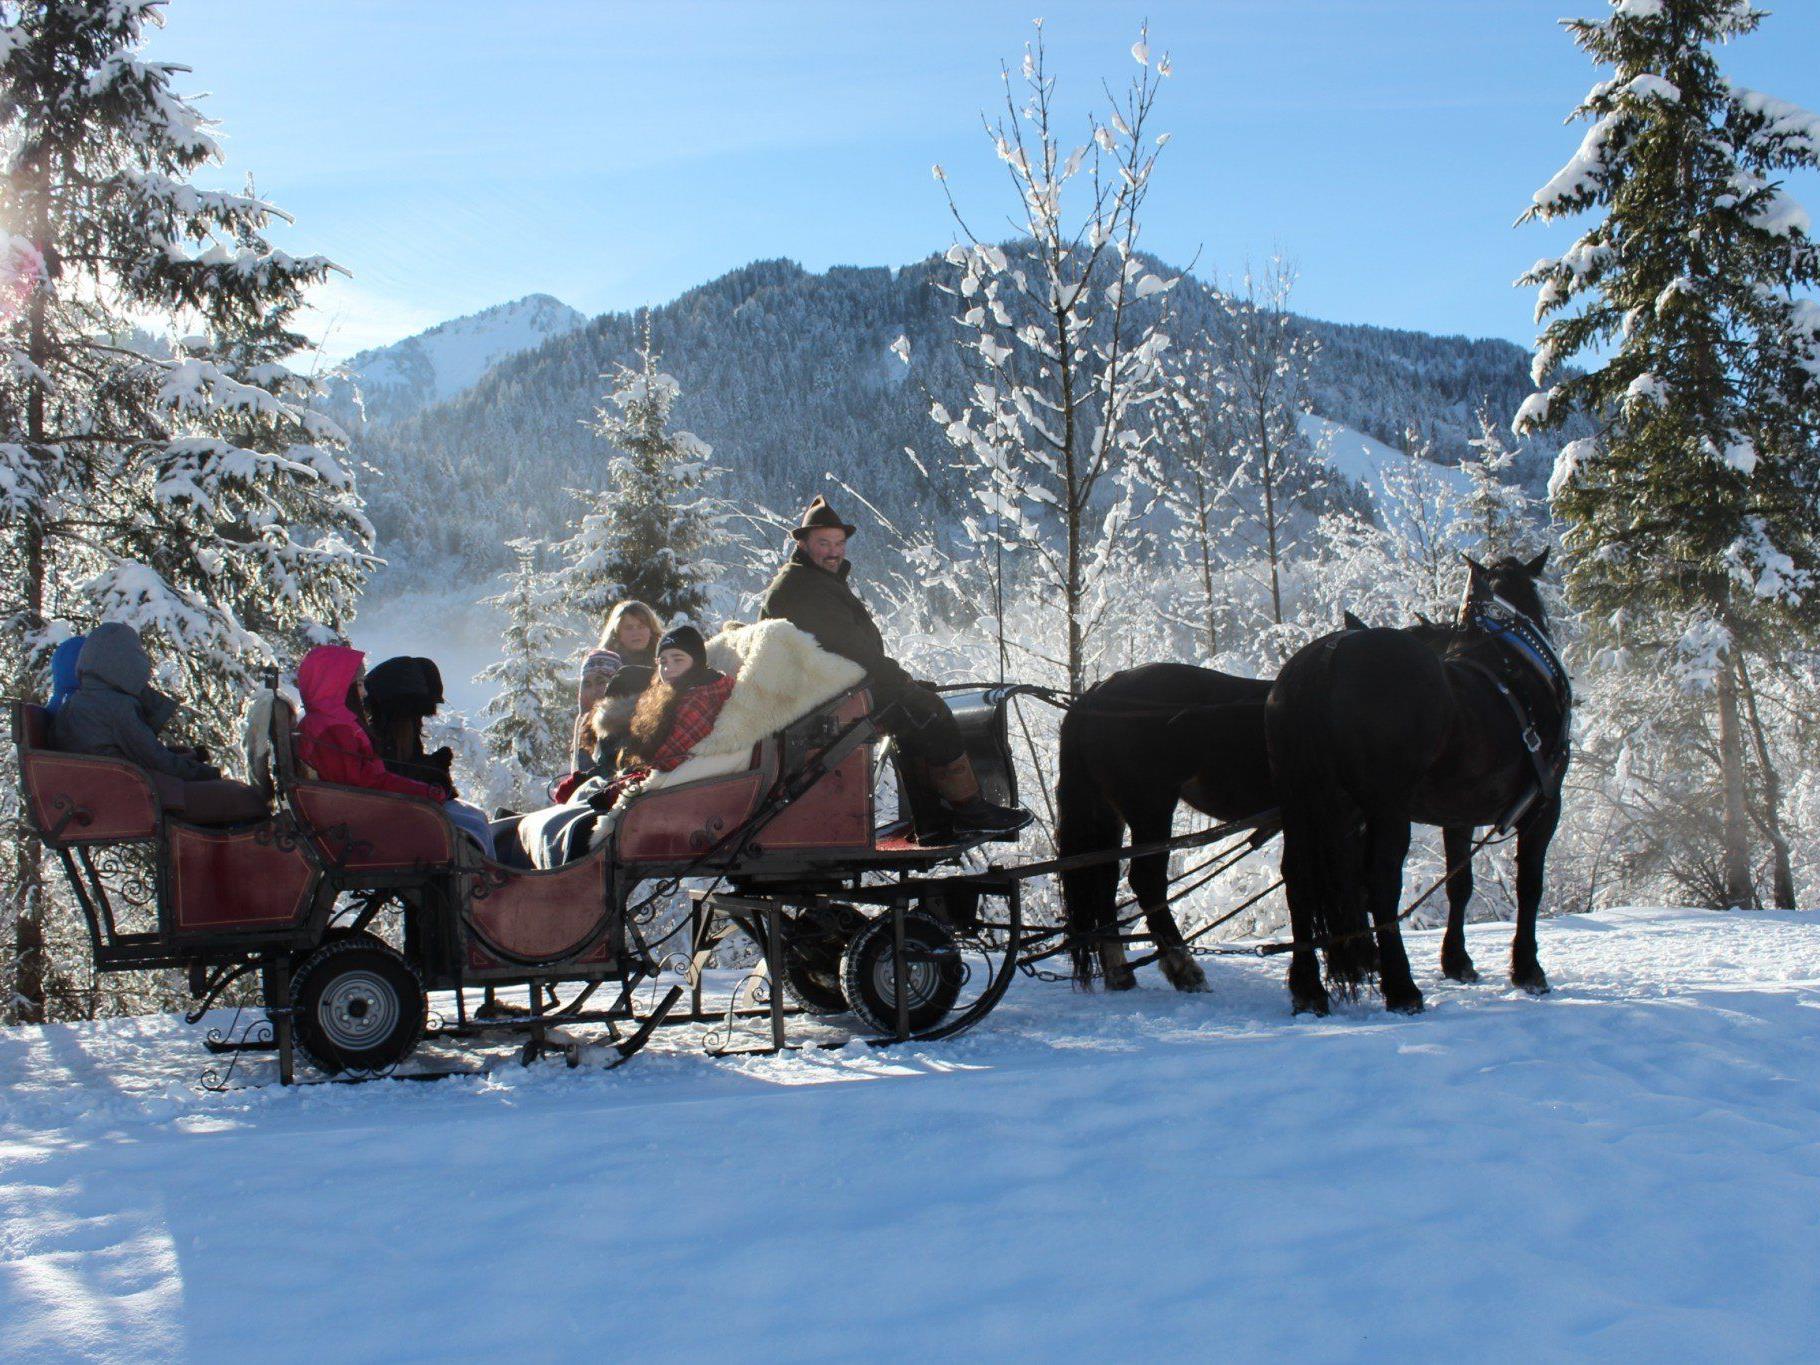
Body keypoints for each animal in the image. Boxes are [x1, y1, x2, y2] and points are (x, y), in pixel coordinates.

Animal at [1055, 666, 1281, 997]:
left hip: (1109, 813)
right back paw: (1184, 967)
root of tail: (1097, 694)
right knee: (1146, 881)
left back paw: (1120, 972)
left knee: (1105, 881)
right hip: (1151, 809)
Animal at [1266, 553, 1565, 1019]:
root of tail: (1328, 657)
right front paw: (1528, 969)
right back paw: (1401, 987)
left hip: (1302, 805)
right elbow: (1529, 886)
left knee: (1297, 879)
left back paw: (1308, 987)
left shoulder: (1458, 816)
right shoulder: (1545, 808)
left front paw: (1457, 961)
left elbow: (1460, 884)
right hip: (1385, 809)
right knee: (1381, 883)